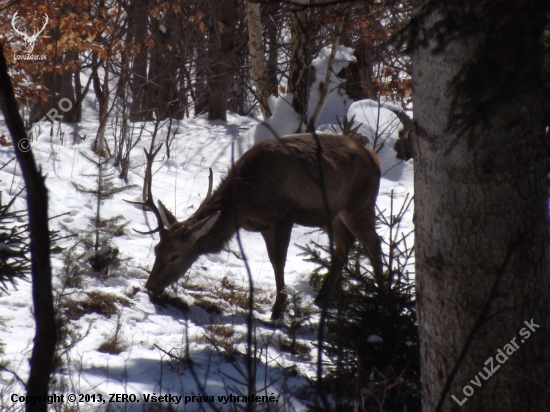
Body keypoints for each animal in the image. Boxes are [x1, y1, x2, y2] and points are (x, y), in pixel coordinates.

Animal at [128, 134, 384, 320]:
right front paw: (280, 306)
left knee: (373, 243)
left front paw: (278, 310)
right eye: (156, 249)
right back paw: (322, 299)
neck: (247, 201)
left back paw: (382, 298)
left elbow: (279, 261)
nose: (150, 286)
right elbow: (273, 261)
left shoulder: (285, 215)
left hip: (360, 204)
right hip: (332, 215)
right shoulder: (263, 225)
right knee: (345, 244)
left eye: (175, 255)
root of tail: (375, 157)